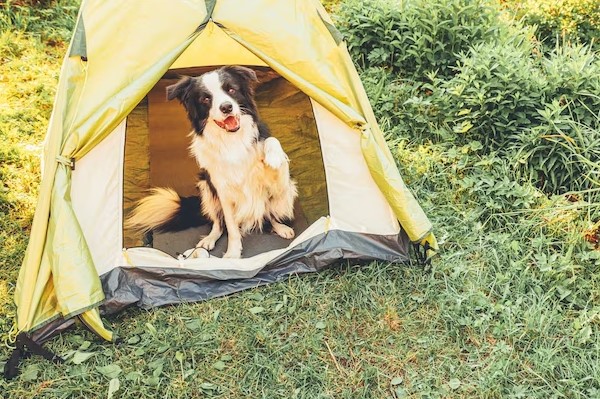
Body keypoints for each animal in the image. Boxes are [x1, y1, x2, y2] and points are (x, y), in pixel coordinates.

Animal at [125, 65, 296, 260]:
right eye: (206, 98)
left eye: (231, 89)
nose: (227, 107)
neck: (232, 140)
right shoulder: (222, 191)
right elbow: (231, 227)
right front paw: (232, 254)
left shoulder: (279, 185)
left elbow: (272, 142)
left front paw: (274, 156)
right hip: (206, 188)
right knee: (218, 223)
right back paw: (208, 240)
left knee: (270, 216)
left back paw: (281, 228)